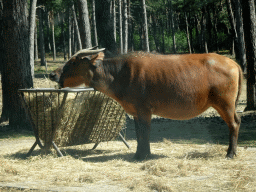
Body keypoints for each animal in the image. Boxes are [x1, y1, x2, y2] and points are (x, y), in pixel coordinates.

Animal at [49, 48, 242, 160]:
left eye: (73, 62)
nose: (52, 74)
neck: (119, 75)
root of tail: (233, 62)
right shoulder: (135, 111)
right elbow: (139, 134)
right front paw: (140, 153)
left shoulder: (144, 110)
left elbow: (144, 133)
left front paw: (143, 155)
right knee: (237, 121)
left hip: (224, 103)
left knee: (233, 124)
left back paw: (230, 153)